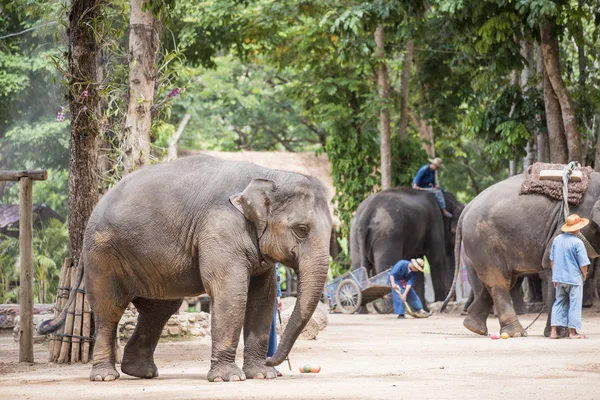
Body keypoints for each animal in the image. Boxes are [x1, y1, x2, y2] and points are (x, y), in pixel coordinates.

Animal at [41, 155, 332, 382]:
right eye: (302, 229)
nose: (276, 363)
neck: (270, 174)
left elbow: (264, 297)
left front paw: (261, 375)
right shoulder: (220, 227)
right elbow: (231, 292)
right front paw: (229, 378)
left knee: (159, 310)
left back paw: (141, 372)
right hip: (102, 254)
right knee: (109, 310)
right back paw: (105, 376)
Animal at [440, 173, 600, 338]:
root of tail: (467, 207)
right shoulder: (576, 217)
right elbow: (550, 262)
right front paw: (559, 335)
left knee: (501, 279)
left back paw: (473, 327)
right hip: (482, 239)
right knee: (499, 281)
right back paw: (515, 333)